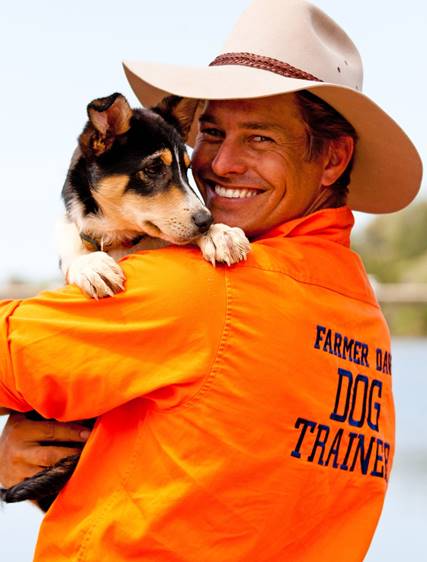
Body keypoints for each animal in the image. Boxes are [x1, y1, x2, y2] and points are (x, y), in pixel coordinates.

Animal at [0, 91, 251, 508]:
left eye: (186, 170)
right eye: (153, 169)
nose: (206, 218)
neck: (119, 240)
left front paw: (221, 234)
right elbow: (74, 244)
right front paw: (92, 266)